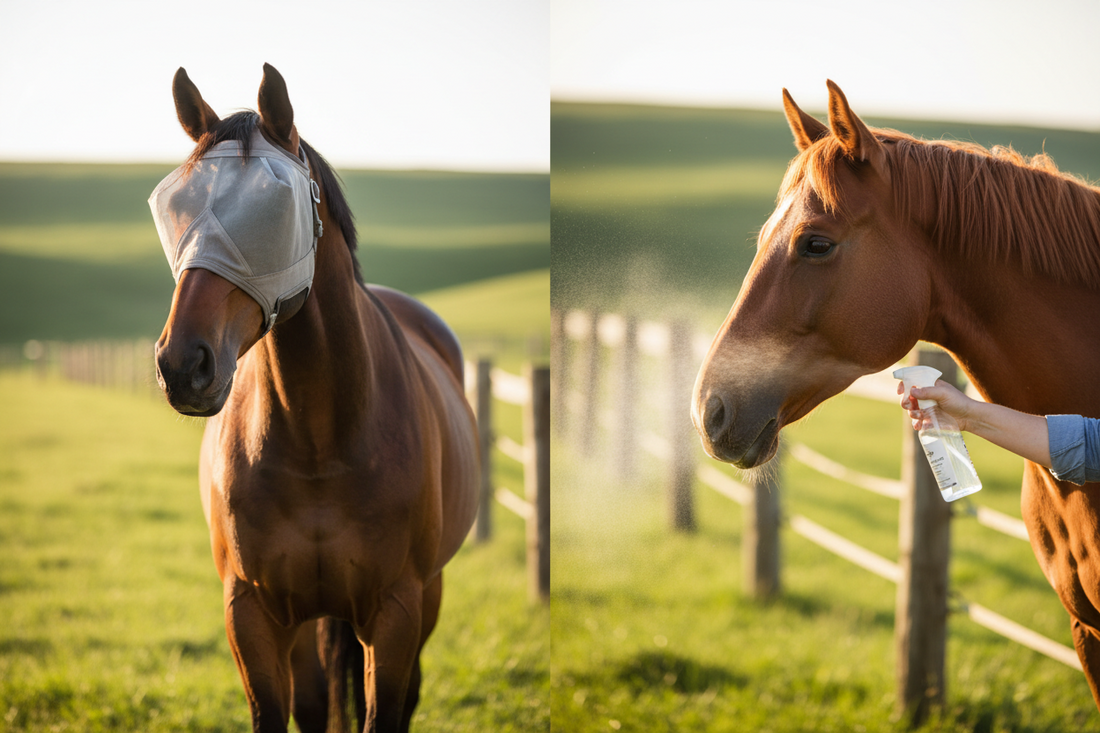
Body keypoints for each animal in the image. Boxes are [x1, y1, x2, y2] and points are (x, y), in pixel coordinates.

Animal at [151, 64, 479, 732]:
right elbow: (279, 711)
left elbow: (385, 711)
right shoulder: (252, 613)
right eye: (178, 208)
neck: (319, 443)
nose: (182, 364)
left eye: (272, 212)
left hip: (427, 596)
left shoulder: (395, 612)